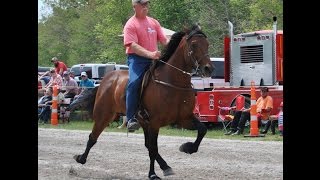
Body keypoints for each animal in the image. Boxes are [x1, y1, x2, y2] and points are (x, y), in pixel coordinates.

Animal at [73, 24, 214, 179]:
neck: (172, 83)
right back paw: (81, 158)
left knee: (147, 144)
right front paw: (152, 174)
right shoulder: (155, 123)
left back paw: (166, 166)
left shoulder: (183, 118)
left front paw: (187, 148)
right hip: (103, 116)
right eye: (194, 44)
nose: (208, 68)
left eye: (207, 44)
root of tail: (106, 79)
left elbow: (202, 129)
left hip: (142, 122)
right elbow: (153, 148)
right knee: (93, 137)